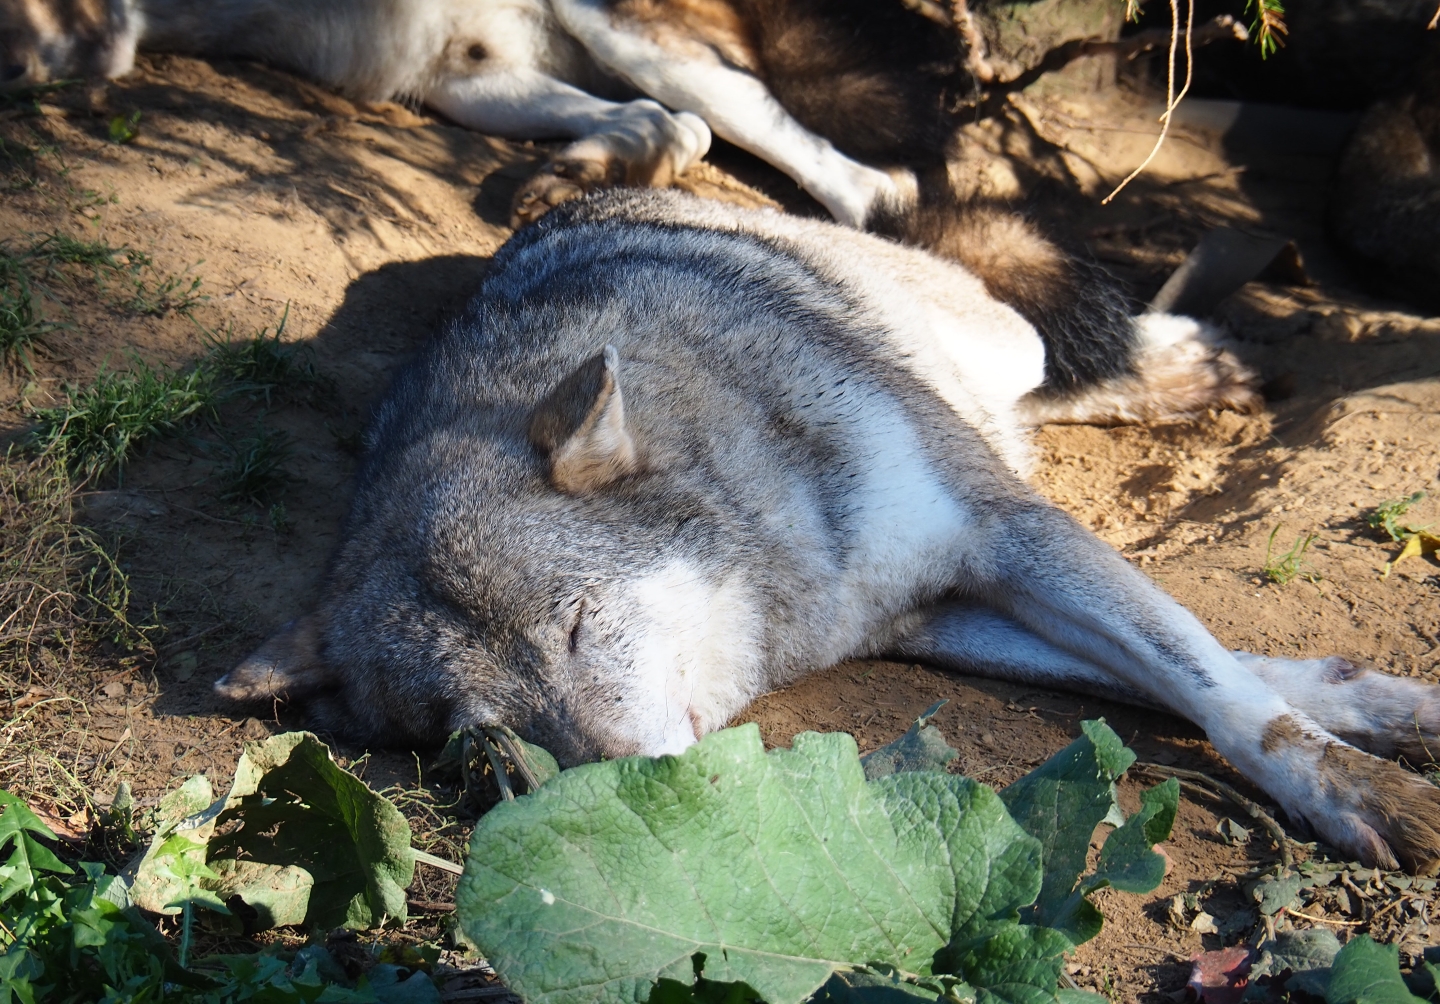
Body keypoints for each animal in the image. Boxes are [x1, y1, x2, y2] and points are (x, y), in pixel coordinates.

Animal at [213, 189, 1440, 873]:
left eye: (576, 625)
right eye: (483, 743)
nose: (614, 804)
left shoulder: (1002, 528)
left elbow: (1221, 690)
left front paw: (1355, 787)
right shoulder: (926, 618)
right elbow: (1205, 670)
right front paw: (1378, 707)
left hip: (994, 345)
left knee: (1057, 360)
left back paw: (1192, 367)